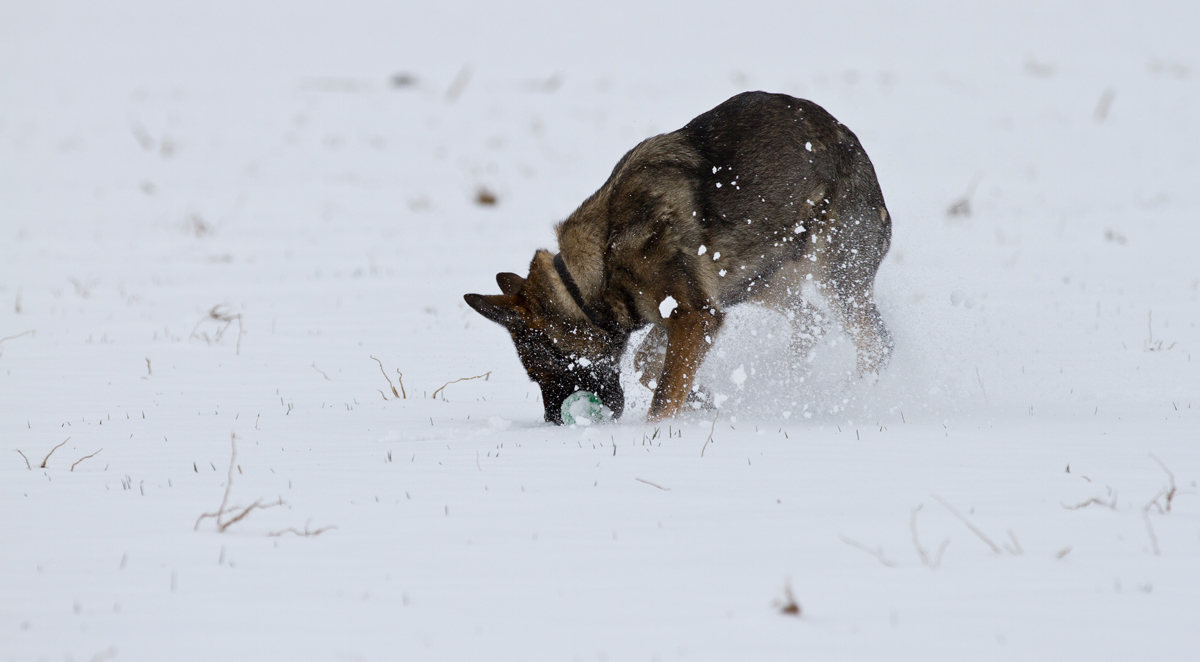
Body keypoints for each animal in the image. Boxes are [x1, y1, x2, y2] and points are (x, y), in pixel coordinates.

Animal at [465, 90, 892, 424]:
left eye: (544, 371)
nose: (553, 422)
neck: (600, 265)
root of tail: (849, 139)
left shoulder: (695, 316)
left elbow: (664, 394)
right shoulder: (680, 314)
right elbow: (649, 367)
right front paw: (703, 400)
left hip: (835, 276)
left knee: (873, 341)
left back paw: (864, 398)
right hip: (757, 280)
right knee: (812, 323)